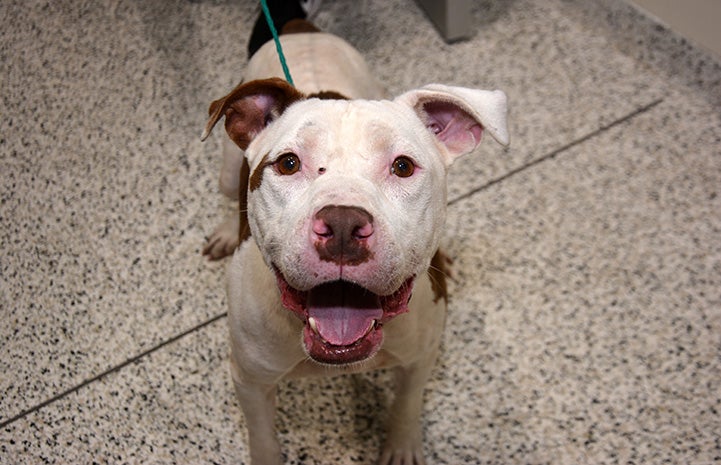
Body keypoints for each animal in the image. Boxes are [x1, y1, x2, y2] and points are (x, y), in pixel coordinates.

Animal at [200, 11, 510, 464]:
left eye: (402, 166)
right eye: (288, 163)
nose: (344, 225)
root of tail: (297, 26)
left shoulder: (420, 357)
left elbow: (407, 402)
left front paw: (401, 445)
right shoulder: (250, 380)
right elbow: (263, 438)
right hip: (226, 169)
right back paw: (226, 231)